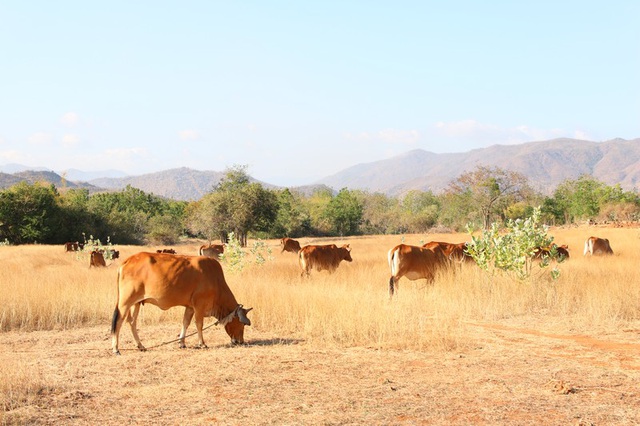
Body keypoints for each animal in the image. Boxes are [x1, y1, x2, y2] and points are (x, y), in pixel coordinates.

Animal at [110, 251, 252, 354]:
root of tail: (127, 261)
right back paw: (116, 349)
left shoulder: (190, 307)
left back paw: (141, 346)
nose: (240, 341)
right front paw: (202, 343)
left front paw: (182, 343)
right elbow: (199, 324)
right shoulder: (199, 305)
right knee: (118, 322)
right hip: (125, 302)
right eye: (241, 324)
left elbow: (185, 323)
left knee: (132, 322)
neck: (216, 281)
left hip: (137, 303)